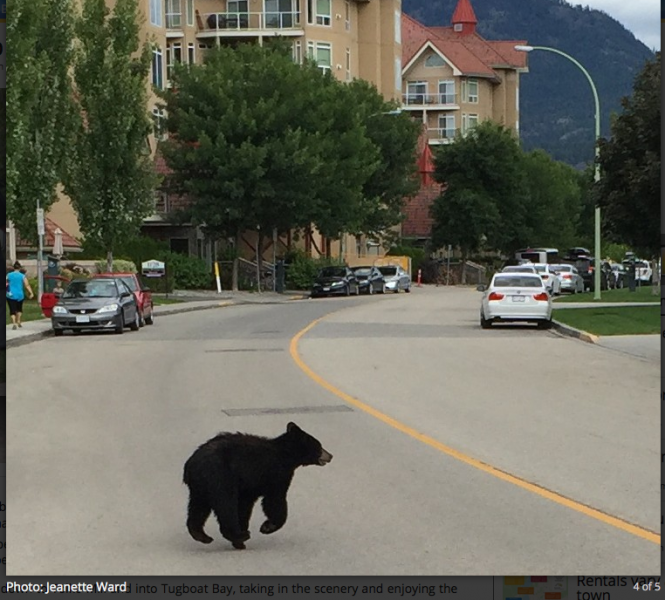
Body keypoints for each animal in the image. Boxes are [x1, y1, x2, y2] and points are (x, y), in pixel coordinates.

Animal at [183, 422, 333, 550]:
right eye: (319, 445)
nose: (330, 455)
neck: (286, 455)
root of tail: (191, 464)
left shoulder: (248, 488)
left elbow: (245, 506)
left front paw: (244, 529)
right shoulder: (276, 473)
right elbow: (274, 500)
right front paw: (267, 527)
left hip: (200, 486)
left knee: (198, 507)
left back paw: (202, 535)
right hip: (220, 478)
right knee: (226, 504)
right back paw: (239, 536)